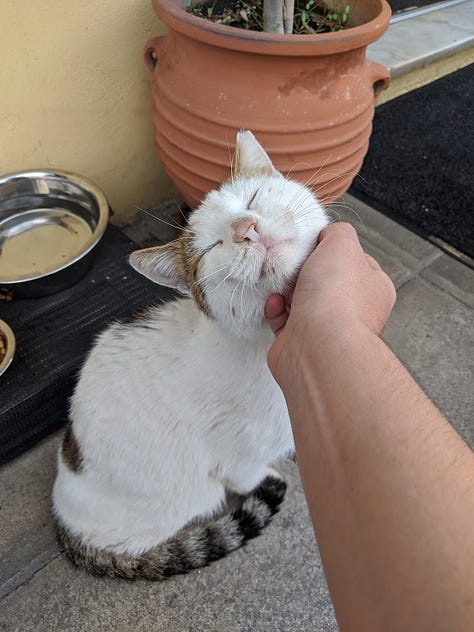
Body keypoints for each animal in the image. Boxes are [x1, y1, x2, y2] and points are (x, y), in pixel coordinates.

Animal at [51, 131, 328, 580]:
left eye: (252, 197)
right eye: (214, 246)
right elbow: (247, 476)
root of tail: (64, 520)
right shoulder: (235, 454)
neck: (262, 346)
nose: (245, 228)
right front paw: (271, 474)